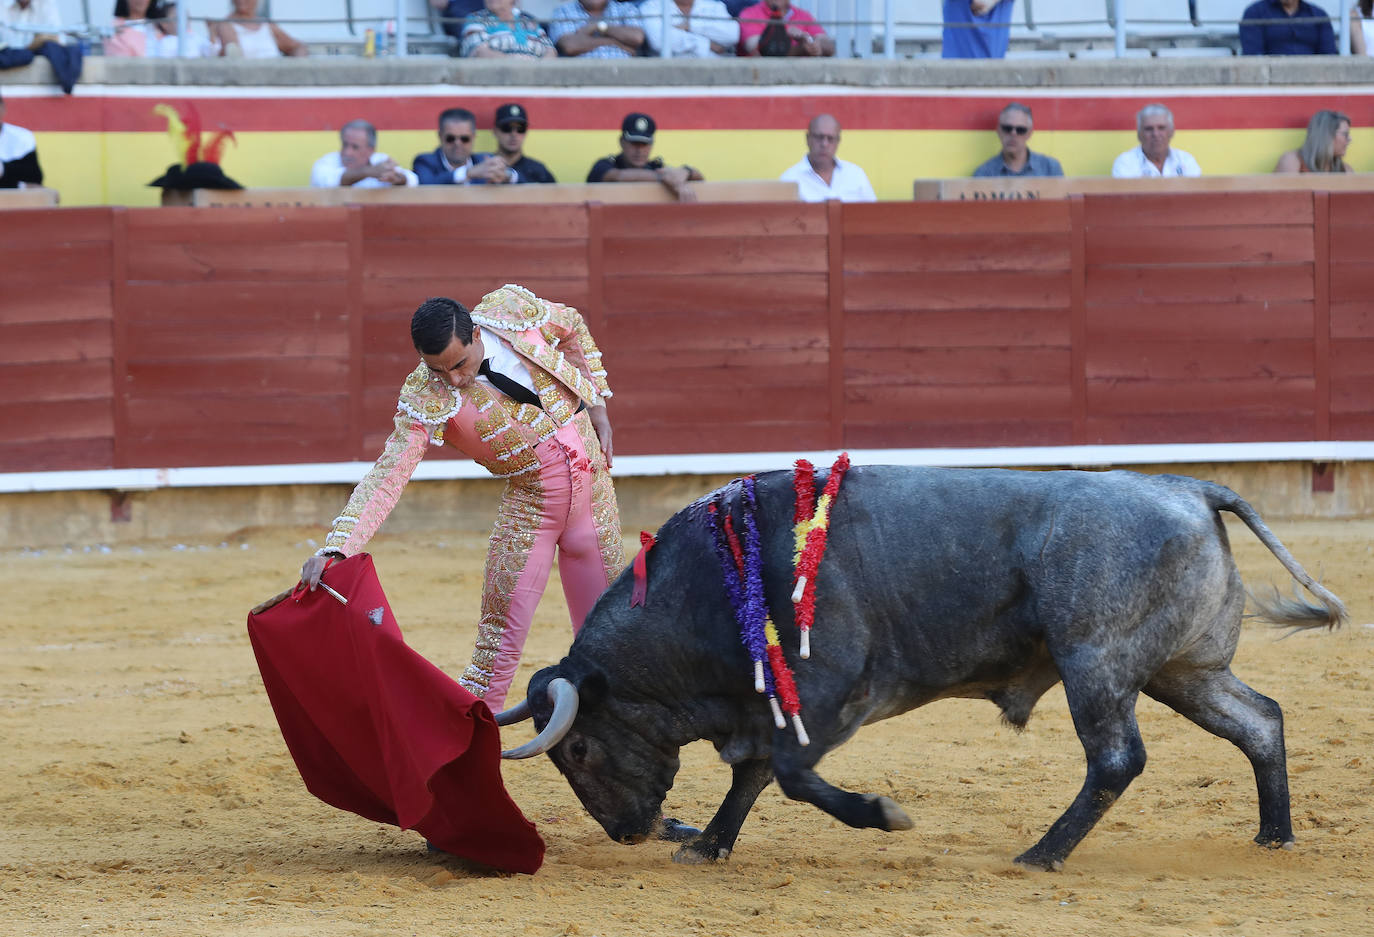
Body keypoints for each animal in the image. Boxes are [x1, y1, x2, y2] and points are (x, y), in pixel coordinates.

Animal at [494, 467, 1341, 868]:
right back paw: (1274, 835)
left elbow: (790, 773)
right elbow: (755, 774)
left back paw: (1041, 854)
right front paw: (706, 843)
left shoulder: (833, 690)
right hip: (1183, 670)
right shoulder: (772, 702)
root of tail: (1186, 484)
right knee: (1260, 720)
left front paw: (883, 813)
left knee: (1116, 758)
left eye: (577, 747)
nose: (626, 832)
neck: (716, 579)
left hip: (1095, 665)